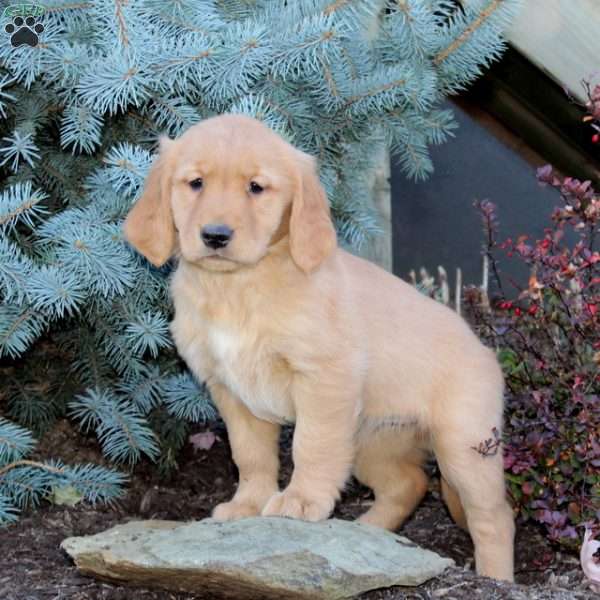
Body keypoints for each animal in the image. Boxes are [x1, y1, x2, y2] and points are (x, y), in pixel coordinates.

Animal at [123, 113, 516, 580]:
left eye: (257, 187)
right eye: (195, 183)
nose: (215, 235)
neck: (237, 286)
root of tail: (485, 351)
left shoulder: (324, 377)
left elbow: (310, 443)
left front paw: (301, 500)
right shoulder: (231, 390)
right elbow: (249, 454)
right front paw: (248, 504)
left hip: (465, 446)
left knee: (494, 516)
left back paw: (496, 577)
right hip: (372, 440)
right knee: (409, 483)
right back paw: (369, 532)